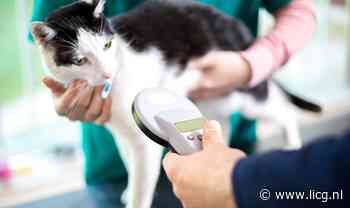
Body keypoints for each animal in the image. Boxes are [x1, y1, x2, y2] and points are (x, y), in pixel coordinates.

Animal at [31, 0, 322, 207]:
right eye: (80, 60)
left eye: (107, 46)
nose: (107, 73)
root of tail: (236, 26)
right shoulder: (122, 132)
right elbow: (129, 162)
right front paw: (128, 188)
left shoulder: (143, 141)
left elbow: (142, 180)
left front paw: (136, 196)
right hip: (213, 101)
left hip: (244, 93)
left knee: (282, 109)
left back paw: (292, 143)